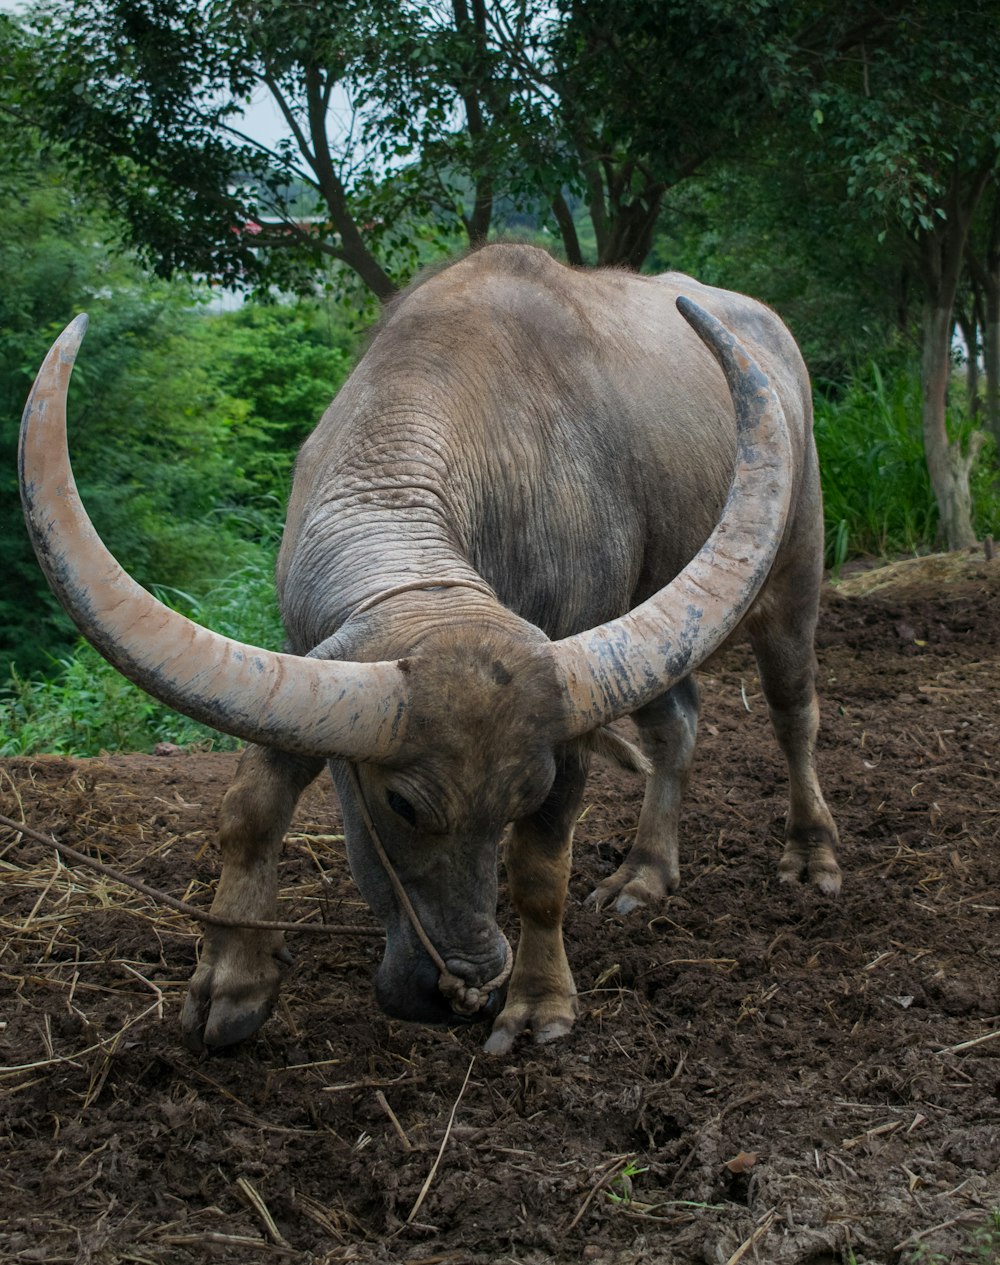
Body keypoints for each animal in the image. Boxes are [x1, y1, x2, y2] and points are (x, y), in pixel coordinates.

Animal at [19, 241, 839, 1052]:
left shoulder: (565, 714)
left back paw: (811, 854)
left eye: (526, 793)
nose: (465, 988)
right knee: (678, 726)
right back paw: (642, 873)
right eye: (403, 804)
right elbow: (251, 806)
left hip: (794, 571)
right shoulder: (308, 668)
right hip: (656, 628)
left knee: (793, 712)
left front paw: (538, 1003)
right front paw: (231, 984)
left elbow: (541, 866)